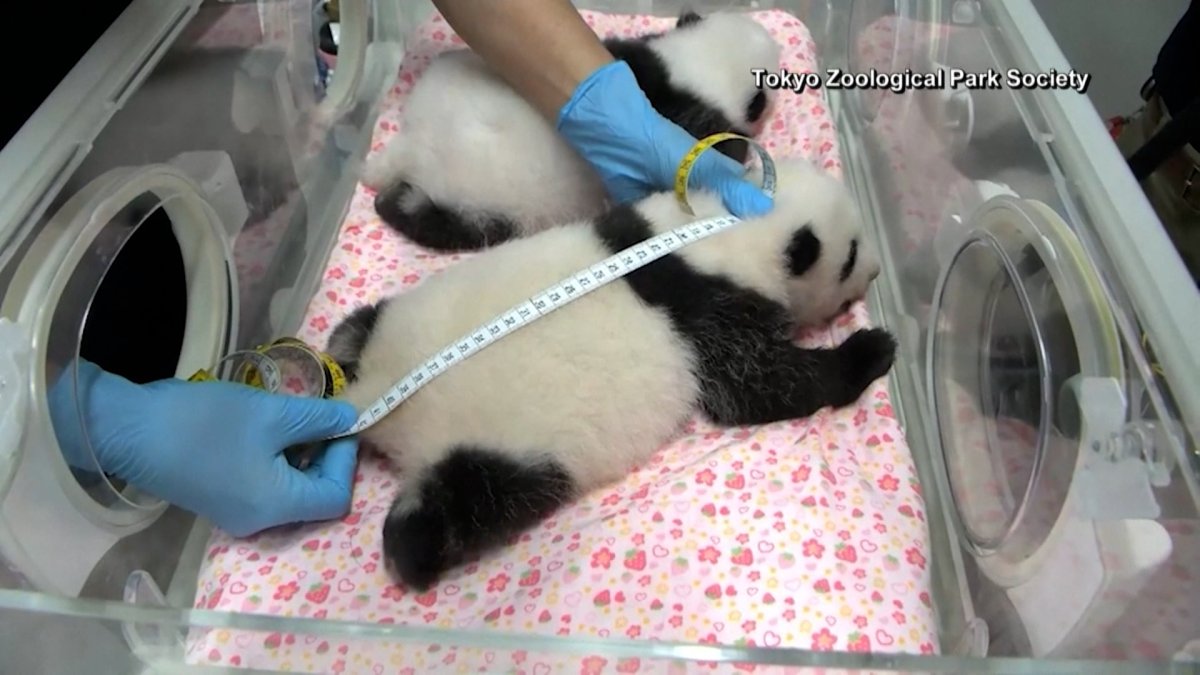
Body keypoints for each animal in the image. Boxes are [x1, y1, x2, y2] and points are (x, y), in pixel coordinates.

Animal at [326, 157, 890, 591]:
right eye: (851, 255)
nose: (876, 271)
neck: (726, 230)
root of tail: (371, 403)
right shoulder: (713, 314)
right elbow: (760, 383)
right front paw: (869, 351)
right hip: (498, 454)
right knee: (462, 500)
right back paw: (411, 552)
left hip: (395, 323)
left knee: (356, 328)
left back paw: (343, 346)